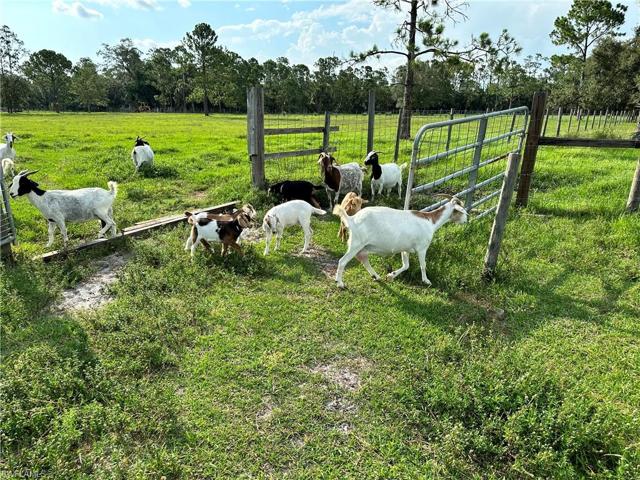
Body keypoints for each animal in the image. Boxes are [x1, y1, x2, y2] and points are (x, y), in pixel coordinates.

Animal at [332, 195, 468, 288]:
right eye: (461, 210)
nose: (466, 220)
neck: (431, 221)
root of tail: (352, 219)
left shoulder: (405, 248)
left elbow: (406, 265)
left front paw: (390, 275)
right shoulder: (422, 248)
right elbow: (423, 265)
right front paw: (426, 281)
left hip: (363, 246)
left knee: (364, 259)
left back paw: (376, 276)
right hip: (356, 243)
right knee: (342, 261)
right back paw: (340, 283)